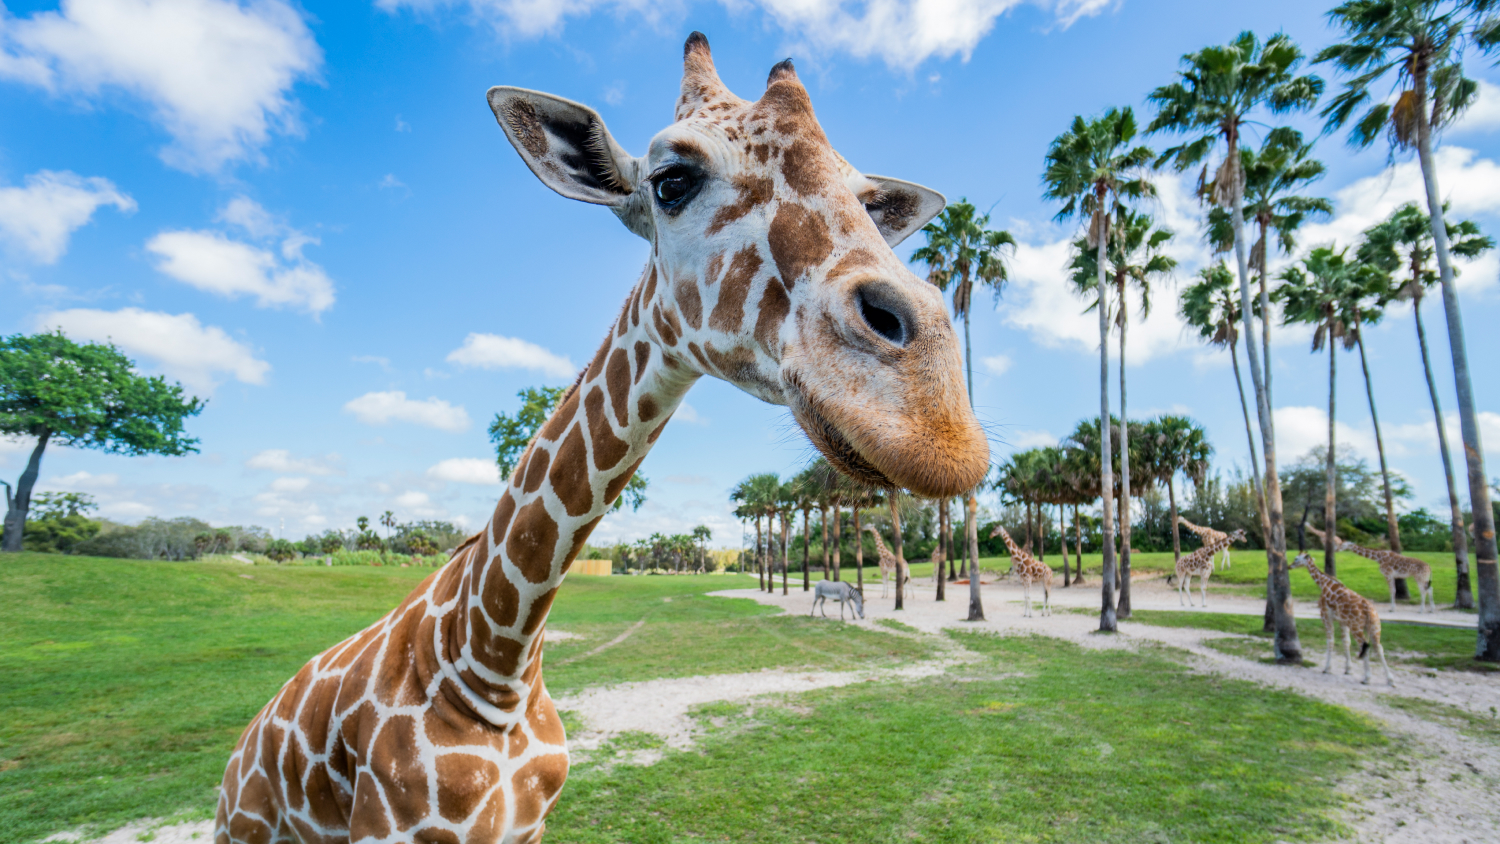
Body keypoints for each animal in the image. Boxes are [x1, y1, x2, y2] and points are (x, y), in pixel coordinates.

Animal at [214, 34, 989, 844]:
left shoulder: (528, 827)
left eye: (870, 203)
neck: (488, 665)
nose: (936, 421)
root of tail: (238, 755)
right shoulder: (391, 829)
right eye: (671, 180)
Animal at [1291, 553, 1395, 685]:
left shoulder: (1326, 616)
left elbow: (1330, 641)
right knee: (1379, 647)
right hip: (1375, 626)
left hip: (1357, 627)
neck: (1324, 584)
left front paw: (1327, 669)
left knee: (1365, 646)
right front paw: (1348, 670)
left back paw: (1367, 678)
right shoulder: (1343, 621)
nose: (1289, 566)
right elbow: (1346, 642)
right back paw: (1390, 680)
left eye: (1296, 559)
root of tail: (1369, 610)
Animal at [1305, 525, 1434, 613]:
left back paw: (1421, 610)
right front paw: (1393, 608)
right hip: (1424, 578)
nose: (1336, 549)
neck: (1378, 558)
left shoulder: (1388, 574)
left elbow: (1392, 590)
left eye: (1343, 544)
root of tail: (1429, 567)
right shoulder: (1392, 575)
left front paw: (1392, 609)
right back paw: (1430, 610)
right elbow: (1393, 590)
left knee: (1424, 590)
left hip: (1419, 577)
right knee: (1429, 589)